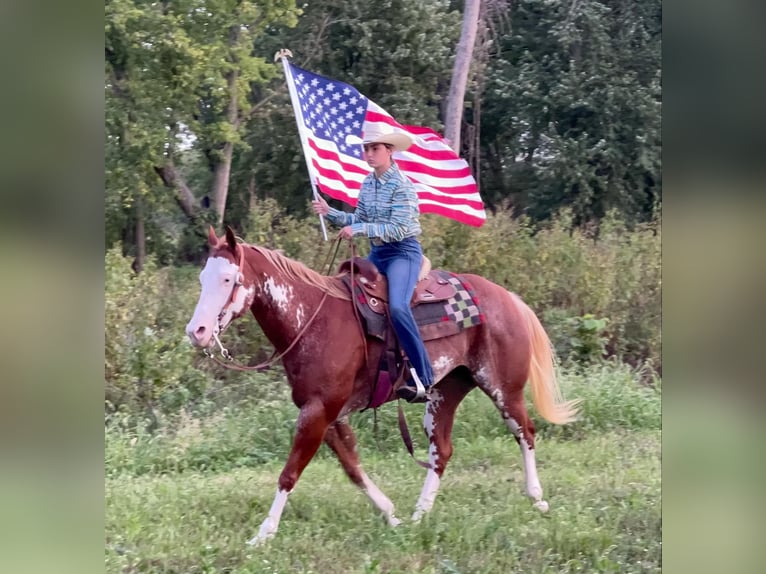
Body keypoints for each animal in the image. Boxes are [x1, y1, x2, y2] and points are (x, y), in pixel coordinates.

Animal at [188, 227, 584, 548]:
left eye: (228, 279)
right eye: (203, 277)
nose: (197, 332)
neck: (313, 320)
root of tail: (507, 298)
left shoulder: (319, 411)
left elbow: (290, 473)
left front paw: (263, 534)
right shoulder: (327, 413)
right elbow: (352, 466)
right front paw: (391, 515)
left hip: (503, 387)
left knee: (525, 431)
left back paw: (537, 498)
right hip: (446, 392)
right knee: (441, 450)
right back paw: (420, 514)